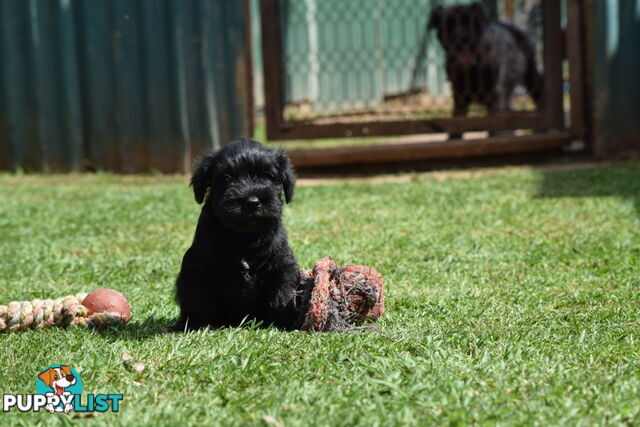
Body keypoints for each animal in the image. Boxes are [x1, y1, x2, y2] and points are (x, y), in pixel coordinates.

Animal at [170, 140, 300, 332]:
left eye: (268, 175)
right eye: (226, 177)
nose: (252, 202)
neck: (243, 236)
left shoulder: (282, 263)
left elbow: (283, 291)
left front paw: (283, 320)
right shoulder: (197, 268)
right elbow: (197, 298)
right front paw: (196, 323)